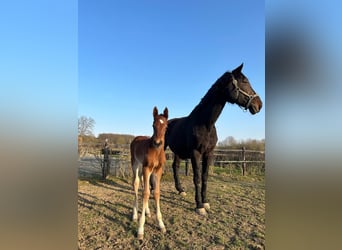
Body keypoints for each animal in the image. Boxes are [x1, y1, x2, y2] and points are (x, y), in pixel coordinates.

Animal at [130, 106, 168, 239]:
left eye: (166, 126)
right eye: (153, 125)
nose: (157, 142)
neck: (156, 151)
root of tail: (136, 138)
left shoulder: (158, 170)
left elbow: (156, 192)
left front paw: (161, 224)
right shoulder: (147, 168)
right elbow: (146, 193)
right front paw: (140, 229)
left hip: (144, 169)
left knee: (142, 184)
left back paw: (147, 211)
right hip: (136, 164)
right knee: (136, 184)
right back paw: (135, 215)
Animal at [164, 64, 264, 215]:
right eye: (245, 81)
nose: (259, 105)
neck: (205, 124)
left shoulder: (209, 153)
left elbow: (205, 177)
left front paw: (205, 202)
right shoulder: (195, 153)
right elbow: (197, 178)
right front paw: (199, 206)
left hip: (177, 152)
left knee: (175, 167)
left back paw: (180, 190)